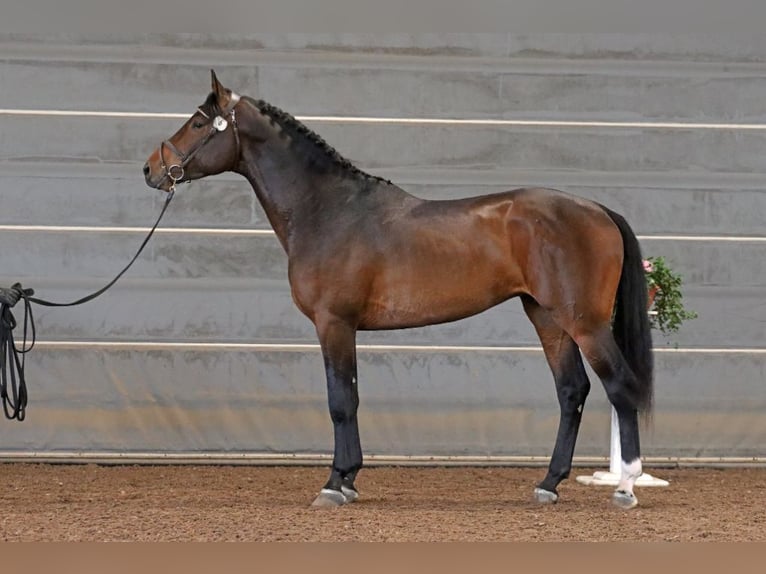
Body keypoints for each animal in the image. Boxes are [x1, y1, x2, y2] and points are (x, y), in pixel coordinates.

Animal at [143, 70, 654, 509]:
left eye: (197, 122)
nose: (151, 169)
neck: (328, 210)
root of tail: (597, 209)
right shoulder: (343, 326)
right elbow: (350, 396)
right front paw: (348, 480)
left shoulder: (334, 323)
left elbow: (340, 401)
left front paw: (334, 484)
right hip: (547, 317)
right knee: (572, 391)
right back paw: (548, 484)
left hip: (585, 322)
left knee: (619, 386)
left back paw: (626, 486)